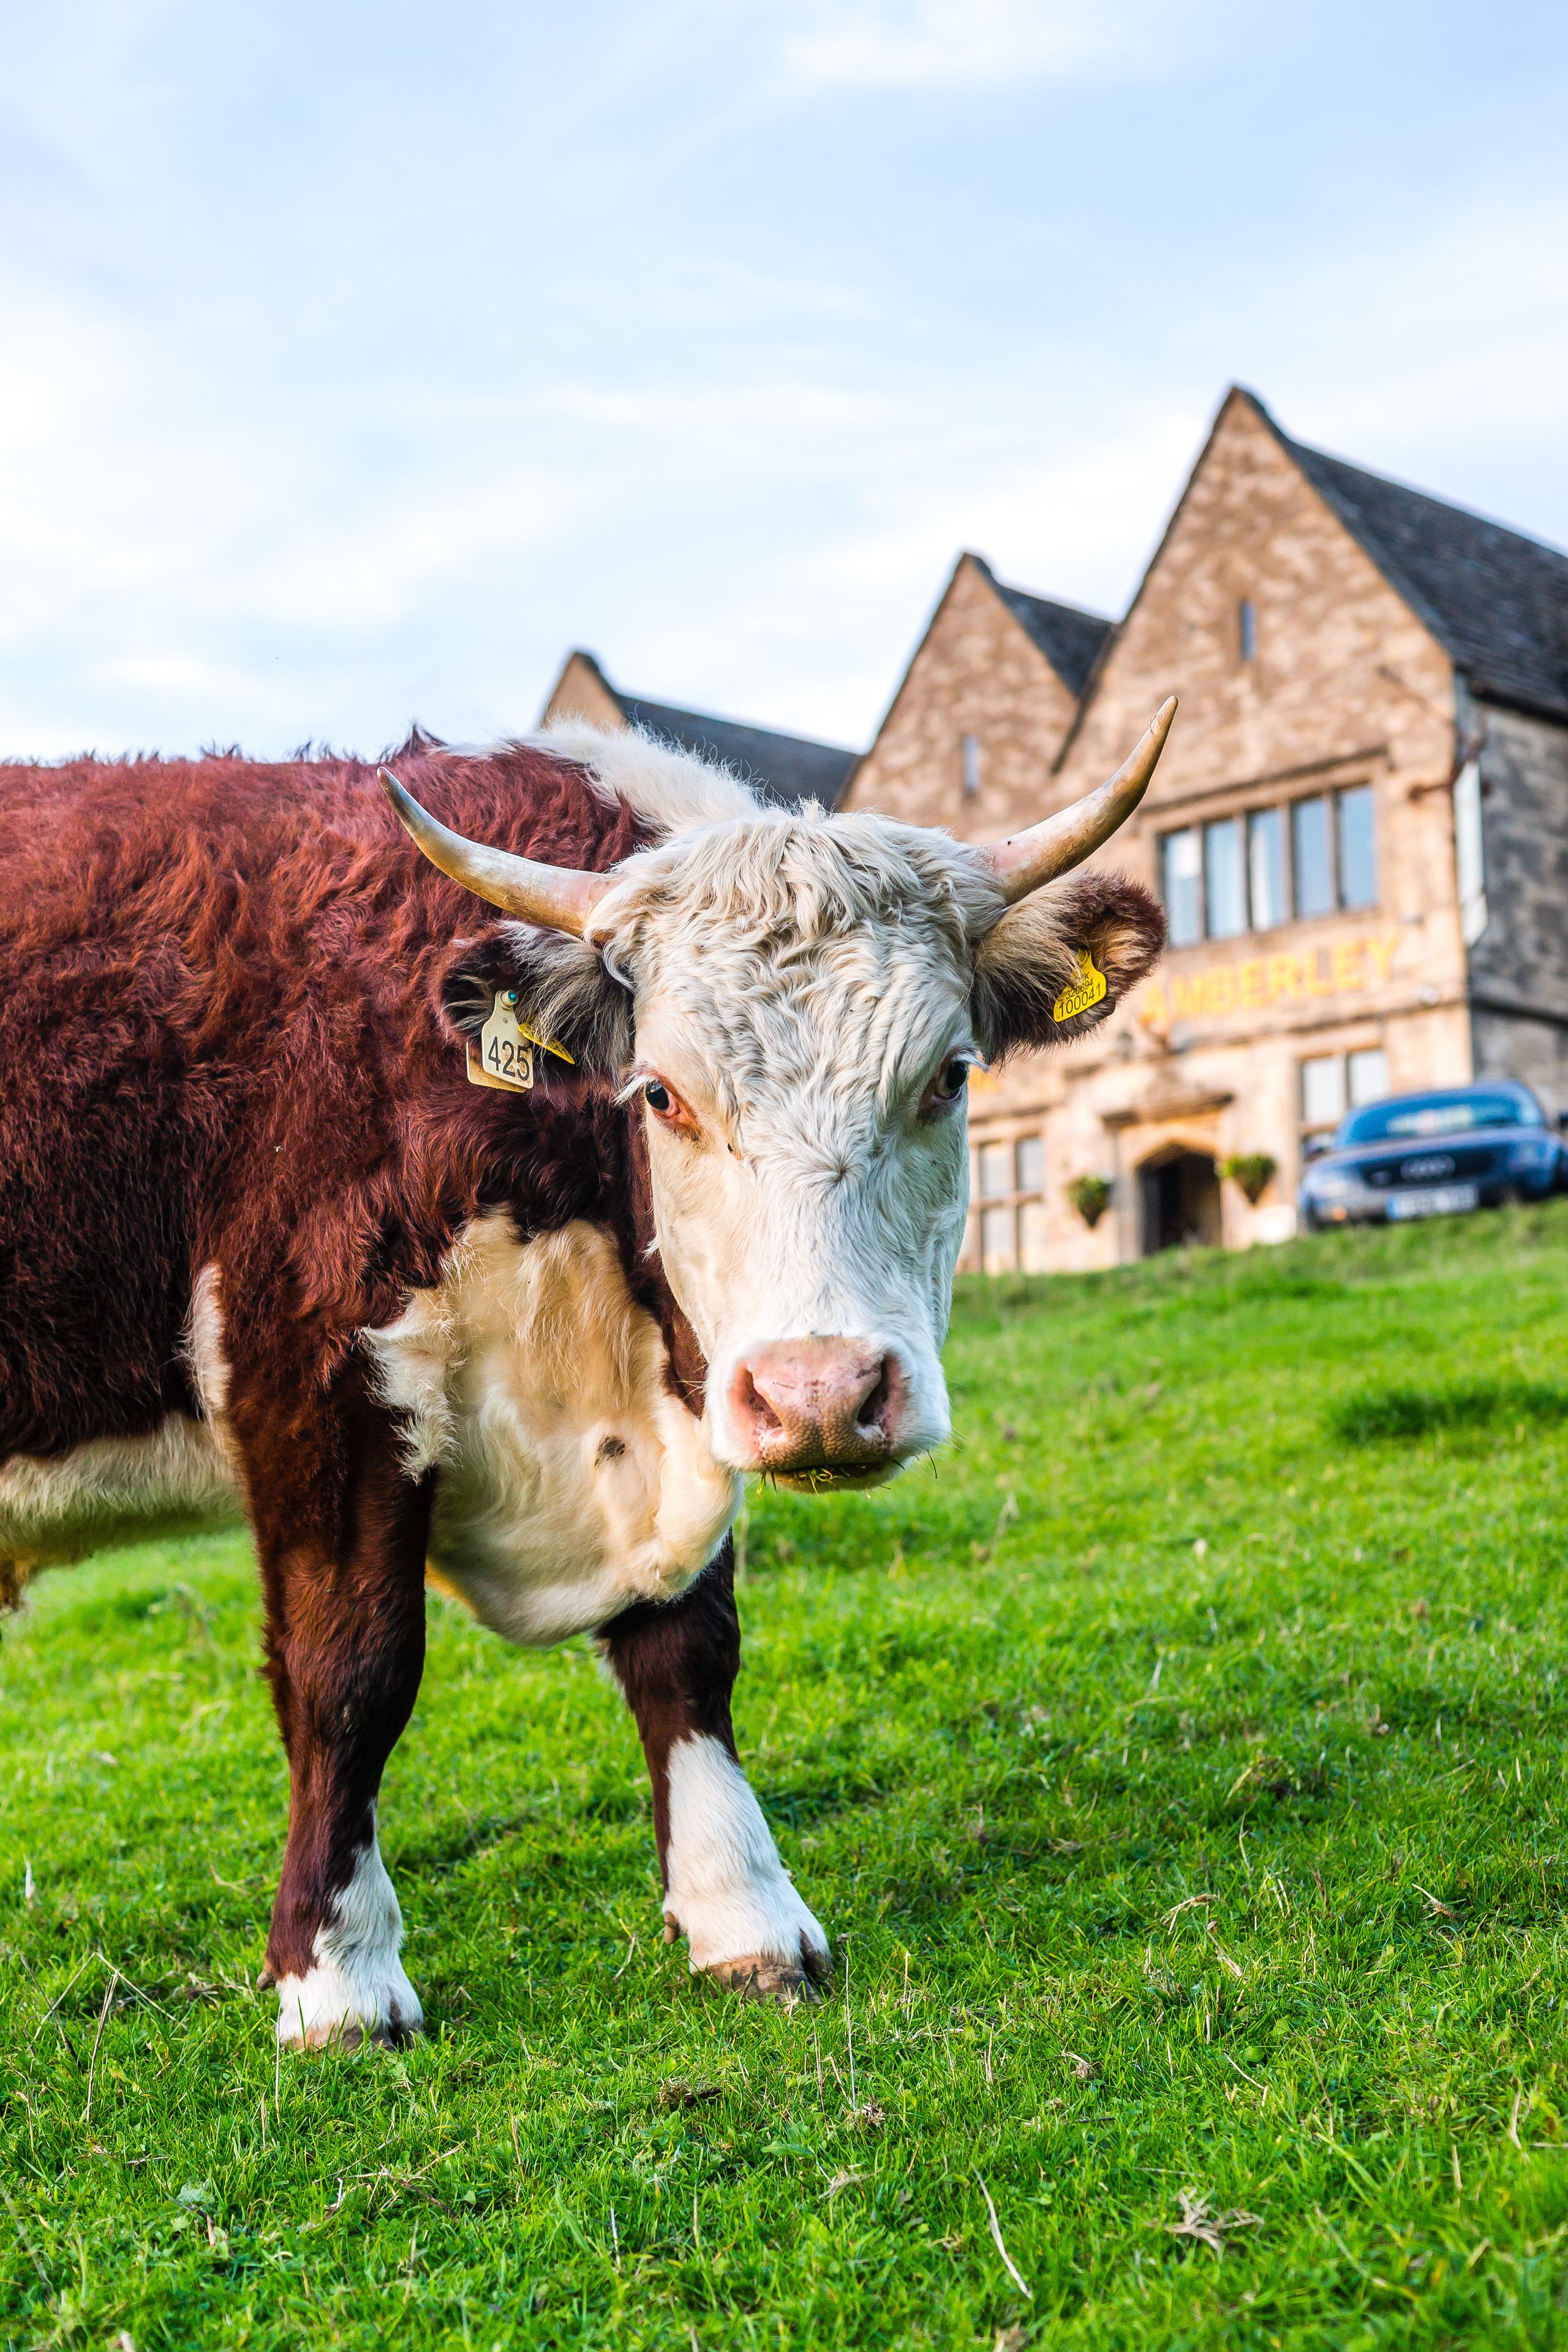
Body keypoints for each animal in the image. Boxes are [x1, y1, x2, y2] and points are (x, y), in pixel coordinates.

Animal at [0, 703, 1171, 2046]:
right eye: (660, 1093)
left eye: (948, 1075)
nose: (822, 1395)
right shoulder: (315, 1372)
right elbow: (349, 1671)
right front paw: (339, 1975)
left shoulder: (690, 1399)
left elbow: (688, 1651)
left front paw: (741, 1914)